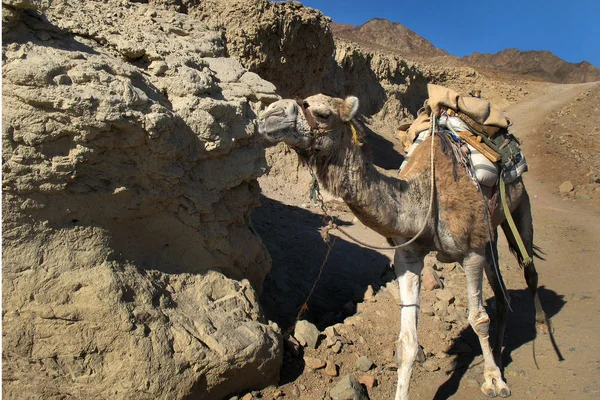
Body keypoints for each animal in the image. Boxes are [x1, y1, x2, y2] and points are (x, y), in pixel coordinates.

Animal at [258, 92, 552, 398]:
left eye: (323, 114)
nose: (268, 115)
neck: (424, 199)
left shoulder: (471, 251)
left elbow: (479, 319)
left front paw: (494, 380)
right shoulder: (408, 257)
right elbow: (408, 342)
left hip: (518, 206)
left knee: (529, 269)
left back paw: (541, 325)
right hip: (489, 231)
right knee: (502, 293)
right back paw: (498, 348)